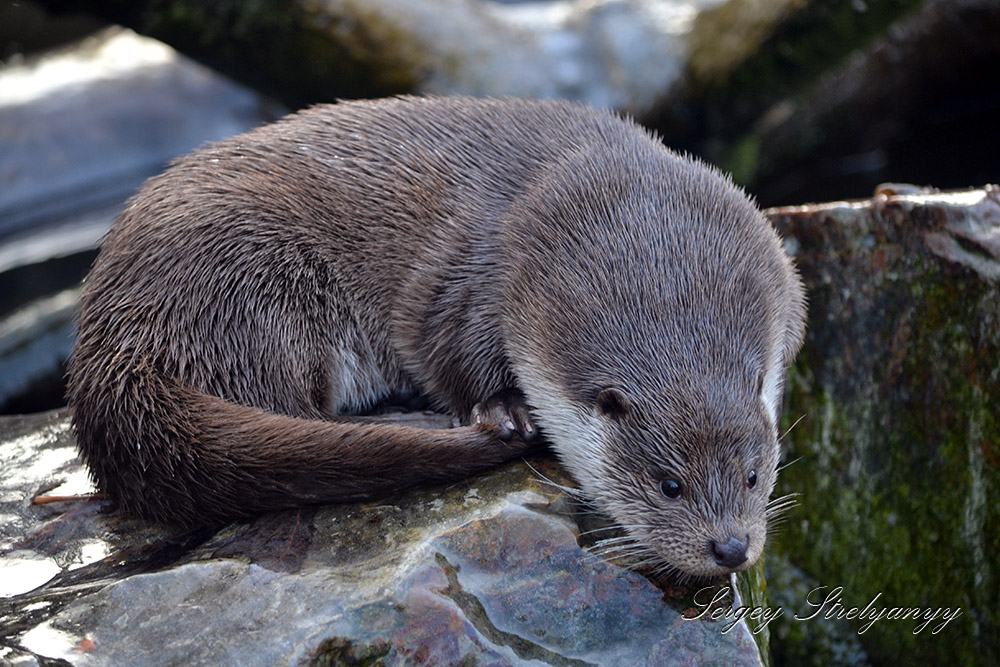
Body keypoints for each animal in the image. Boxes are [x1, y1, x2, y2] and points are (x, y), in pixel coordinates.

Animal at [68, 95, 804, 580]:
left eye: (753, 474)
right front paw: (503, 410)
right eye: (668, 485)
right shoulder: (476, 273)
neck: (642, 224)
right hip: (254, 282)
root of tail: (111, 334)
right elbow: (442, 346)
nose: (731, 548)